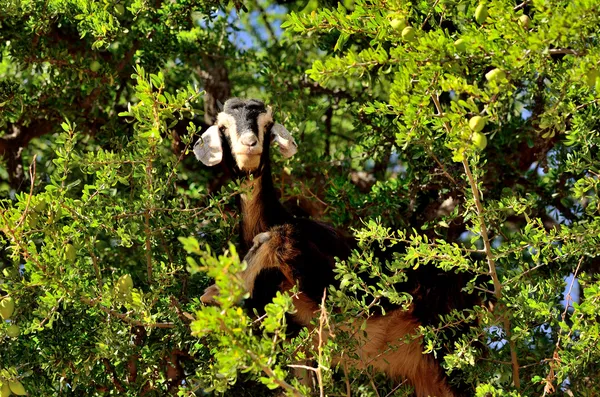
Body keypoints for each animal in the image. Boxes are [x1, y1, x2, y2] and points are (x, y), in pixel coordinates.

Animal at [195, 97, 476, 394]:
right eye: (223, 127)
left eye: (267, 124)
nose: (249, 144)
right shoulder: (295, 342)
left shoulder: (331, 281)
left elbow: (279, 236)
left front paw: (218, 291)